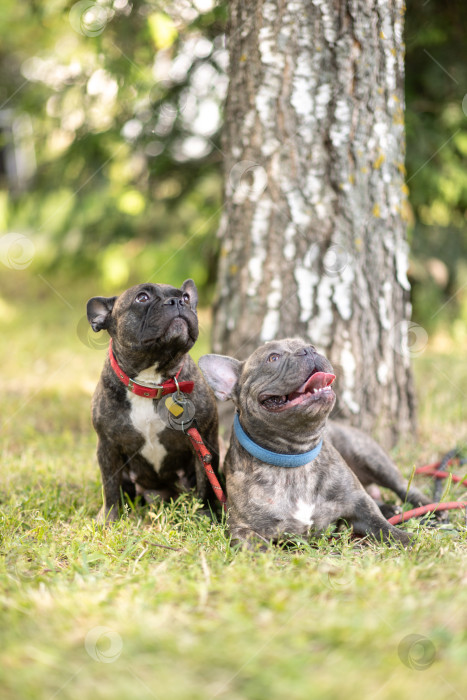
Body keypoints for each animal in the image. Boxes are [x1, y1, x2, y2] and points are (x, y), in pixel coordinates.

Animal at [87, 278, 219, 520]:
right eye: (142, 298)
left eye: (186, 297)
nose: (177, 301)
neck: (151, 382)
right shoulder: (107, 447)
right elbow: (109, 486)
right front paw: (109, 518)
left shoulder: (203, 440)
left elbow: (206, 481)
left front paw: (205, 514)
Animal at [198, 340, 416, 548]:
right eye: (273, 357)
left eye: (312, 346)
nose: (309, 351)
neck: (294, 457)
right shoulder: (242, 528)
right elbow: (257, 547)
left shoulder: (360, 505)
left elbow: (384, 527)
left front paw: (408, 540)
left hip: (370, 457)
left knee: (405, 489)